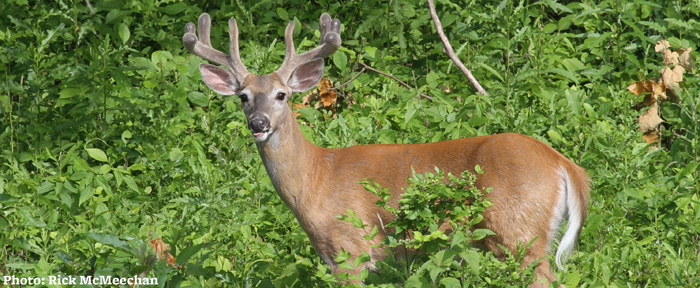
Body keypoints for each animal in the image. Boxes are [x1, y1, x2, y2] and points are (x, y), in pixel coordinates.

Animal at [182, 12, 592, 286]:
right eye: (243, 97)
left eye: (282, 94)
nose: (259, 124)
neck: (315, 177)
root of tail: (563, 164)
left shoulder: (350, 248)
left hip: (520, 229)